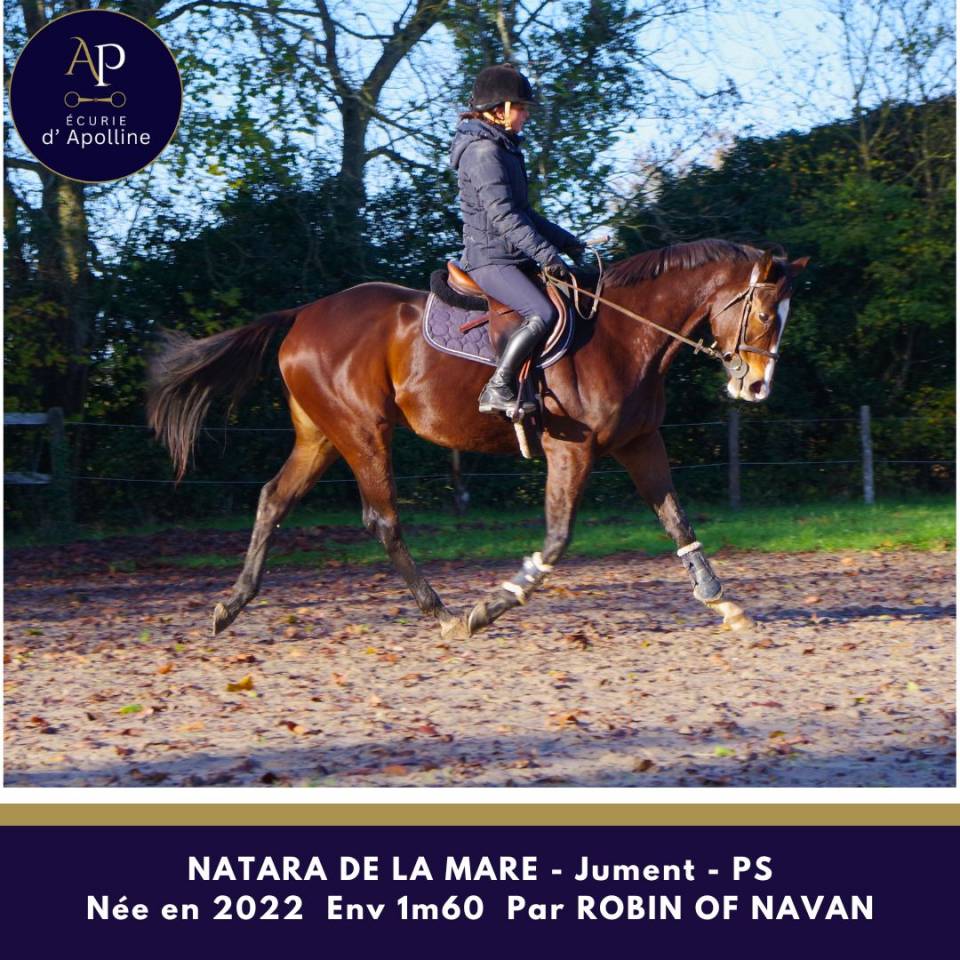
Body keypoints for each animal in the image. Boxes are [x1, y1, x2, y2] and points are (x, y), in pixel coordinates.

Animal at [147, 239, 809, 640]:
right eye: (761, 315)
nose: (757, 386)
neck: (624, 334)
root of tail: (303, 315)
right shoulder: (571, 450)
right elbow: (558, 539)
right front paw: (491, 606)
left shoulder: (640, 443)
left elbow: (677, 520)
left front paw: (721, 600)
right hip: (362, 432)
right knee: (381, 518)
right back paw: (440, 611)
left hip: (321, 436)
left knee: (273, 500)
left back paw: (232, 605)